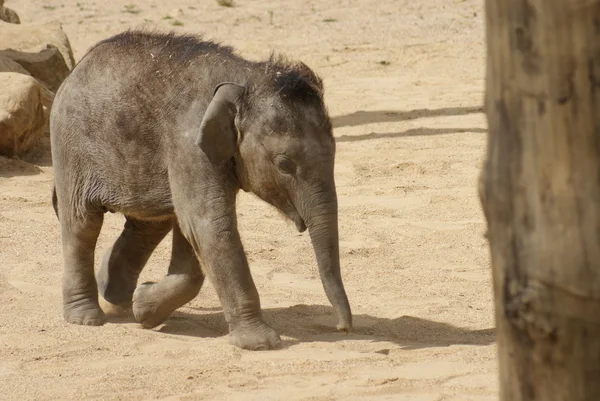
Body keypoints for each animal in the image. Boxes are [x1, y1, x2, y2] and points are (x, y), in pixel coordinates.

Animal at [51, 29, 354, 348]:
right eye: (284, 164)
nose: (342, 328)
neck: (244, 77)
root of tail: (78, 65)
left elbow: (193, 230)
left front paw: (143, 307)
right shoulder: (188, 143)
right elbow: (208, 225)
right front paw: (262, 344)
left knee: (149, 223)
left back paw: (115, 296)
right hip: (70, 145)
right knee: (82, 223)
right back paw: (86, 318)